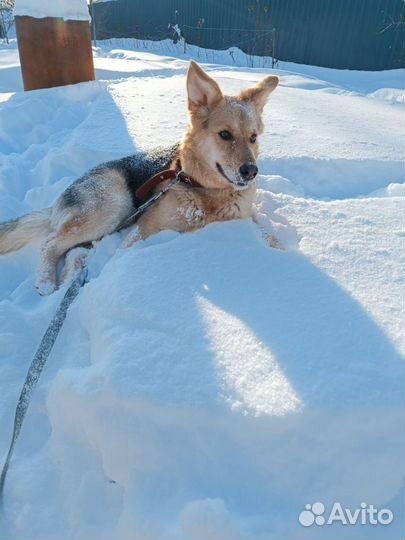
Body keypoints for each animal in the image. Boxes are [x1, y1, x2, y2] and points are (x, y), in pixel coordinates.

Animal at [0, 60, 278, 294]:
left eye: (253, 138)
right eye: (225, 135)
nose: (250, 171)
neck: (206, 192)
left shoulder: (243, 215)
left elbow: (269, 236)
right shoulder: (139, 232)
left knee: (71, 251)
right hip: (114, 206)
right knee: (51, 243)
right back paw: (47, 281)